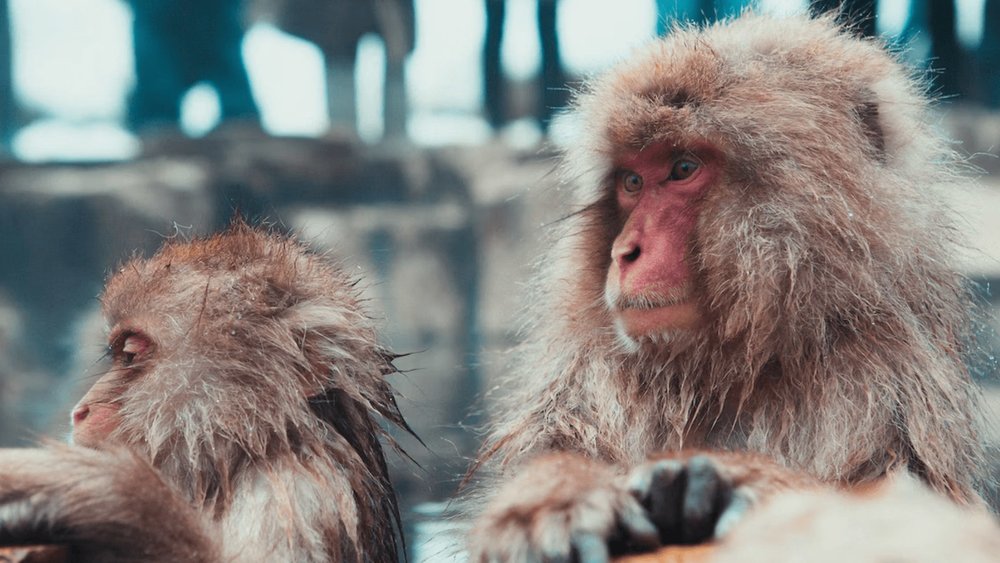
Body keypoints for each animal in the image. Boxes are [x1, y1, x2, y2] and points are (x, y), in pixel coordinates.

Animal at [466, 13, 989, 561]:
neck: (737, 366)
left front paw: (730, 480)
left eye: (682, 169)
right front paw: (553, 500)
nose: (625, 251)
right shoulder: (589, 378)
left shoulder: (890, 383)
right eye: (632, 182)